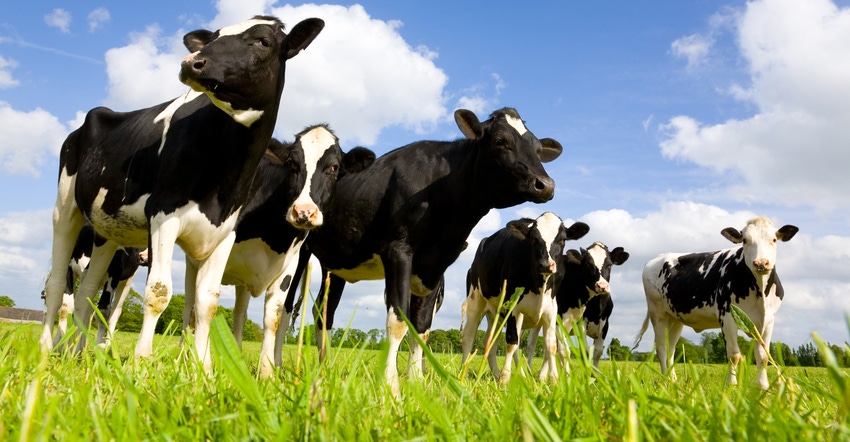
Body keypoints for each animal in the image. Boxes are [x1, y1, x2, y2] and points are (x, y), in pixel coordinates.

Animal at [39, 15, 324, 372]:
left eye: (263, 41)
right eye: (213, 38)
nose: (192, 62)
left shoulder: (225, 232)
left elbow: (207, 302)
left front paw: (203, 370)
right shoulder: (163, 216)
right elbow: (158, 293)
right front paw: (141, 362)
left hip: (107, 232)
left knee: (86, 293)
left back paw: (75, 355)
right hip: (65, 209)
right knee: (56, 285)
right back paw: (46, 349)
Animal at [284, 108, 564, 398]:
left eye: (537, 148)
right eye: (500, 141)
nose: (546, 184)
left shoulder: (435, 266)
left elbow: (421, 326)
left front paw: (417, 382)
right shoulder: (398, 251)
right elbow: (398, 319)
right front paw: (391, 385)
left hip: (337, 265)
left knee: (323, 311)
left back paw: (324, 366)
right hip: (299, 247)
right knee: (286, 305)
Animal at [460, 212, 588, 382]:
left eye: (562, 240)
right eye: (533, 239)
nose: (545, 264)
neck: (539, 284)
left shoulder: (551, 310)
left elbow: (550, 345)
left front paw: (554, 380)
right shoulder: (512, 306)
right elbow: (511, 342)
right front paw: (505, 379)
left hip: (496, 314)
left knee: (490, 341)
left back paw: (496, 374)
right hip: (476, 301)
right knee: (469, 337)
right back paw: (462, 373)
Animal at [520, 243, 628, 372]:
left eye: (609, 265)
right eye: (588, 264)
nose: (602, 286)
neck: (595, 307)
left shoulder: (605, 324)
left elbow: (597, 352)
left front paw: (594, 375)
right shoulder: (573, 321)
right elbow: (582, 351)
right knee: (530, 343)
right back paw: (527, 372)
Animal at [632, 216, 800, 388]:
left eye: (774, 239)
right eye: (745, 240)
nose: (761, 263)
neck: (760, 294)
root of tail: (657, 258)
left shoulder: (768, 320)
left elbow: (763, 355)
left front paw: (763, 386)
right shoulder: (727, 316)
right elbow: (734, 354)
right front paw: (732, 386)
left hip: (675, 318)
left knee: (671, 348)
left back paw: (672, 380)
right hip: (657, 313)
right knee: (661, 347)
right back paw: (665, 381)